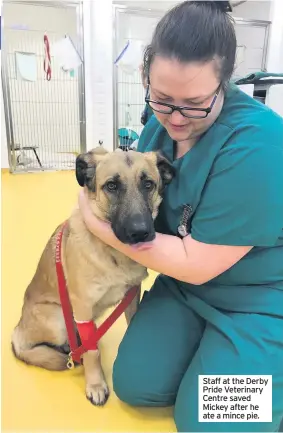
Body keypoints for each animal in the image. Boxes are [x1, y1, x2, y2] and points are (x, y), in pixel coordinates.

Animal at [11, 148, 175, 404]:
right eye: (112, 186)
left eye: (148, 184)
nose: (139, 232)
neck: (114, 254)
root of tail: (17, 329)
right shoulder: (83, 305)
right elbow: (92, 352)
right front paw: (96, 384)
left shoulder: (132, 296)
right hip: (57, 319)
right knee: (33, 348)